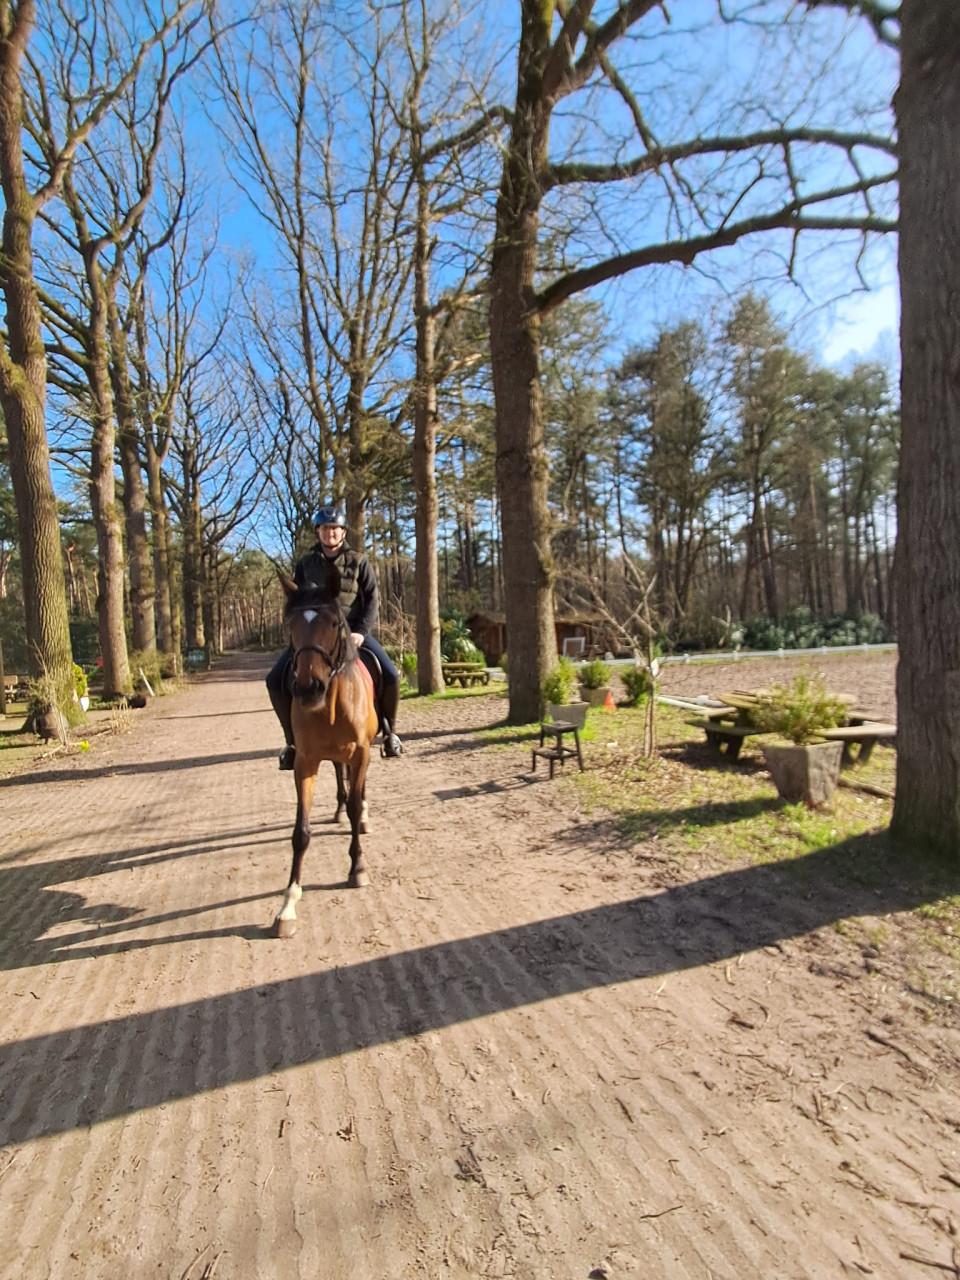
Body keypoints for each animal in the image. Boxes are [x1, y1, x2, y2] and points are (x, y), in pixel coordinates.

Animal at [273, 575, 379, 938]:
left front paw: (358, 867)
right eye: (290, 624)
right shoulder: (305, 761)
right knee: (339, 777)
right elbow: (301, 832)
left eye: (334, 623)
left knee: (357, 792)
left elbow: (356, 804)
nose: (308, 688)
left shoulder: (361, 753)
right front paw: (288, 904)